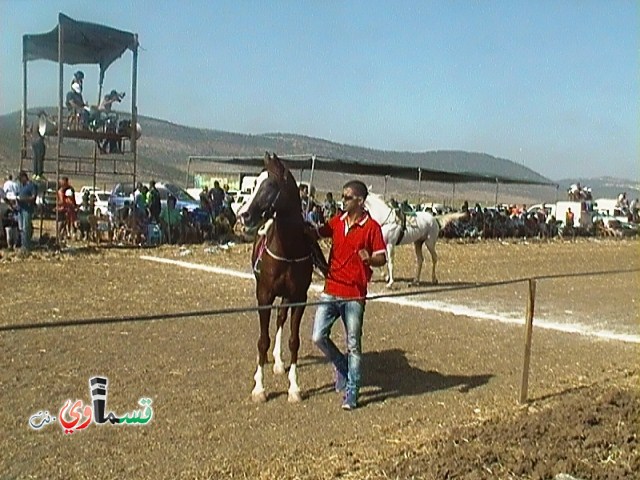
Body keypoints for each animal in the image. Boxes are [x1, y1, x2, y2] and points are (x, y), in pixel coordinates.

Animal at [236, 153, 314, 402]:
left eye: (270, 185)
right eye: (253, 185)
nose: (244, 215)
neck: (288, 251)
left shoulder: (298, 298)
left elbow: (294, 341)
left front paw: (294, 388)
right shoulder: (264, 295)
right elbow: (262, 341)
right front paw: (259, 389)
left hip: (287, 296)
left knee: (280, 319)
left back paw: (279, 363)